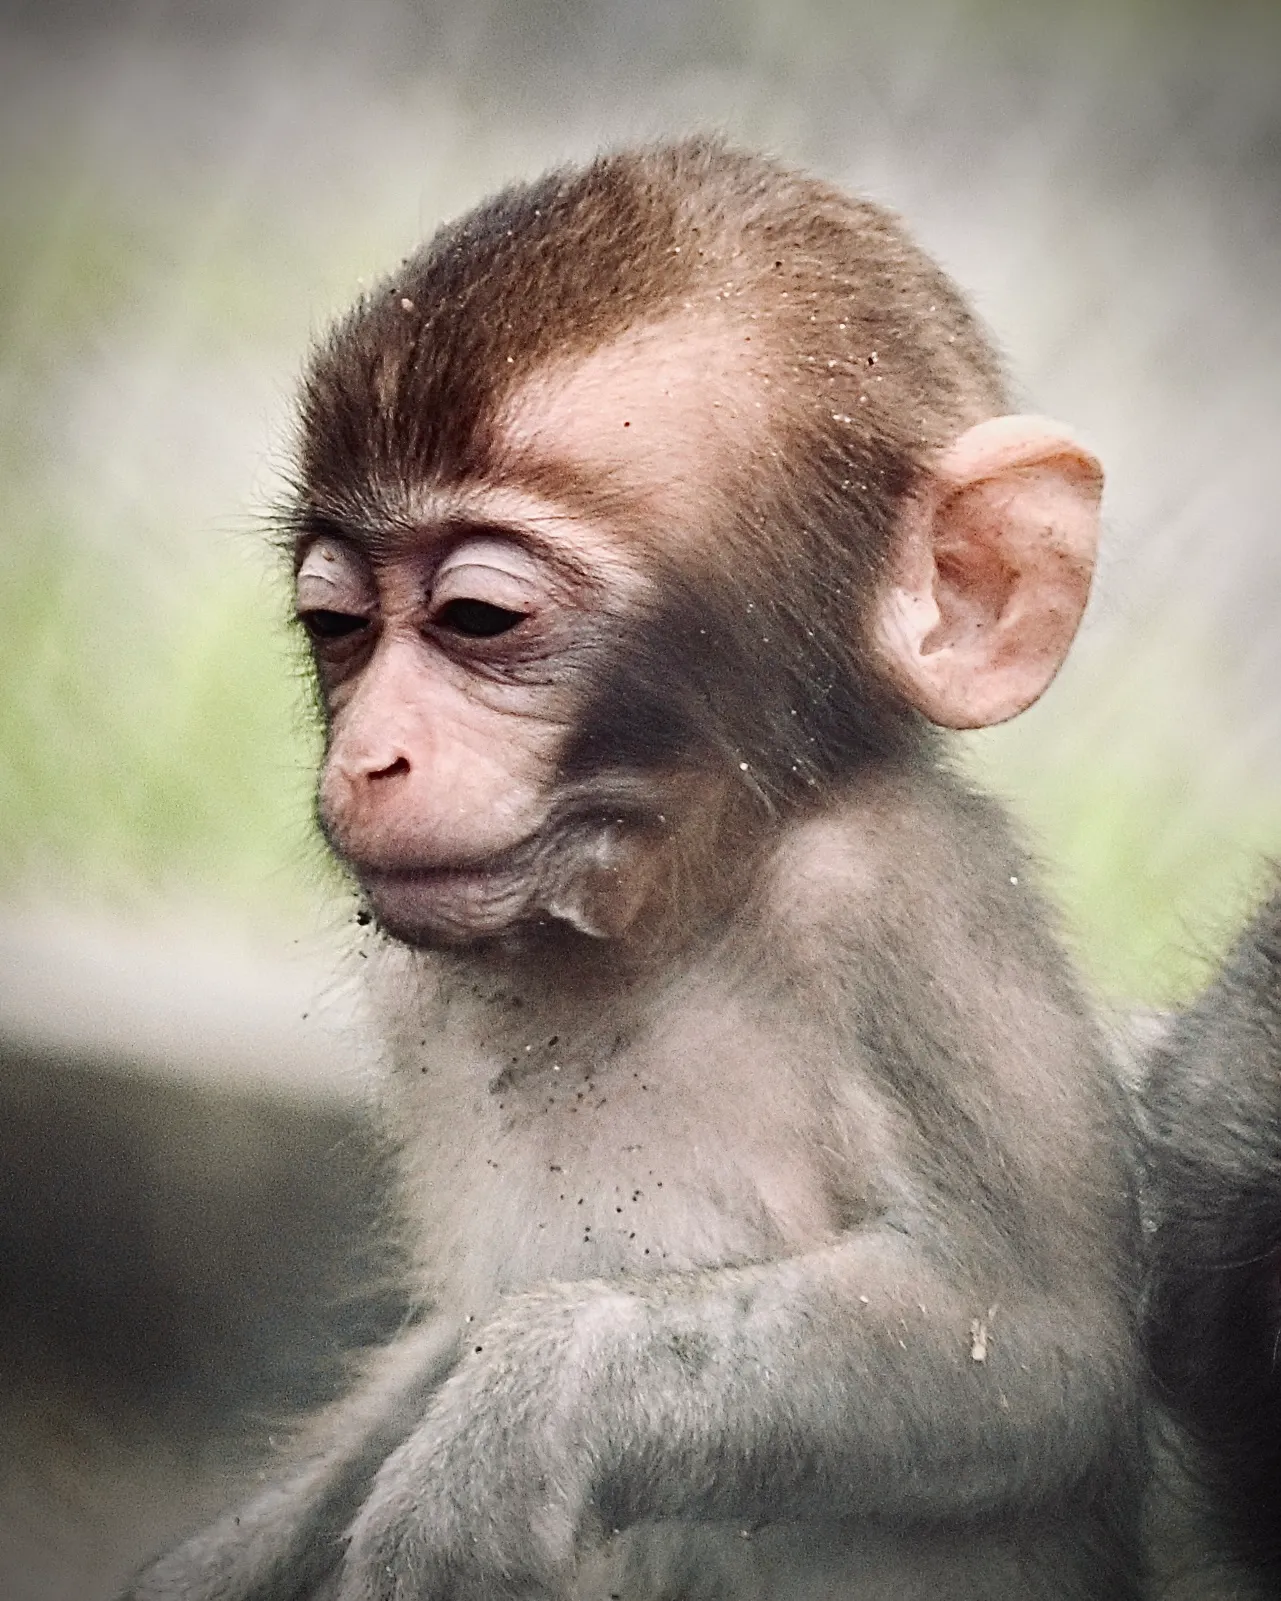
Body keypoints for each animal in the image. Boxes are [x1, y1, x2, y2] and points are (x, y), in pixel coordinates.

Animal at [122, 137, 1143, 1601]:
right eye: (335, 623)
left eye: (477, 617)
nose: (368, 755)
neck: (666, 917)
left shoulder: (898, 910)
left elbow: (1037, 1351)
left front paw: (532, 1404)